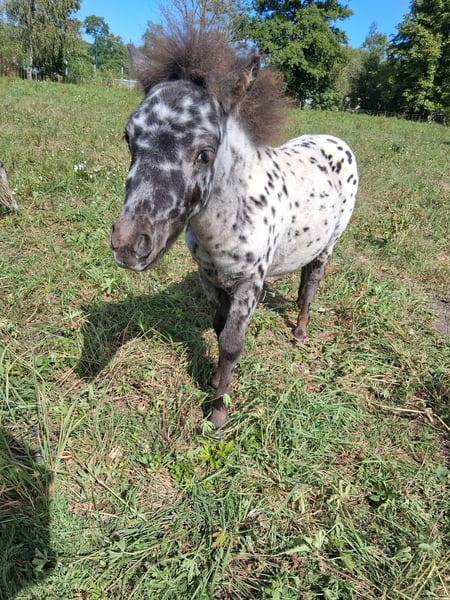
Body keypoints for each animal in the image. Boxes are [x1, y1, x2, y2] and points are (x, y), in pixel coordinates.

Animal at [110, 28, 358, 428]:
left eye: (205, 153)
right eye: (129, 138)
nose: (128, 245)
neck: (229, 220)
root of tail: (336, 141)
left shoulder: (249, 283)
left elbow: (231, 342)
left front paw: (218, 411)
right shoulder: (208, 275)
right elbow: (217, 325)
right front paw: (214, 382)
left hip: (327, 245)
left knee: (311, 284)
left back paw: (300, 331)